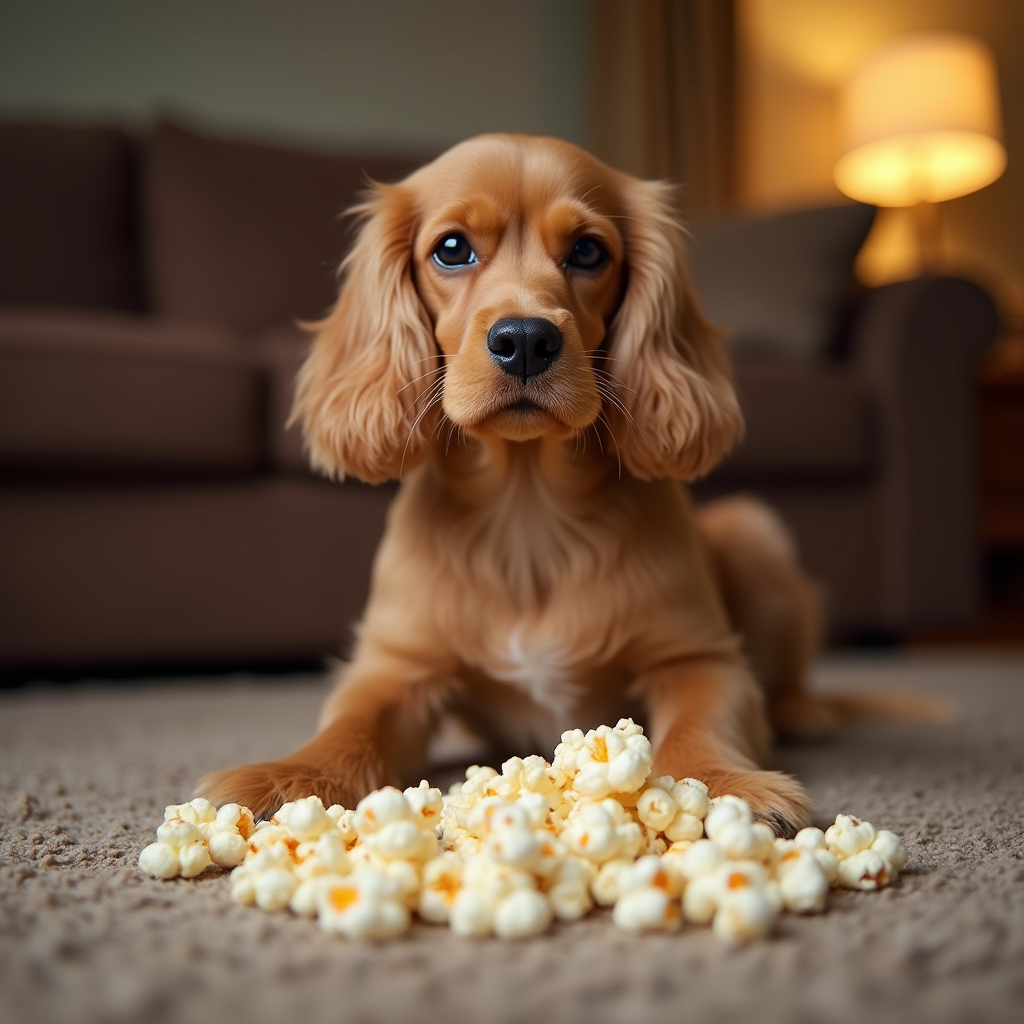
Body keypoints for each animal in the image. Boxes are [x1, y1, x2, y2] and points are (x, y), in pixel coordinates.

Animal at [199, 132, 856, 835]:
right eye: (451, 248)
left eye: (589, 251)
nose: (524, 340)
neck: (526, 506)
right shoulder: (395, 667)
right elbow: (349, 725)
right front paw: (286, 779)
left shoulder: (698, 658)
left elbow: (699, 724)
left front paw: (719, 788)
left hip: (752, 531)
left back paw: (808, 711)